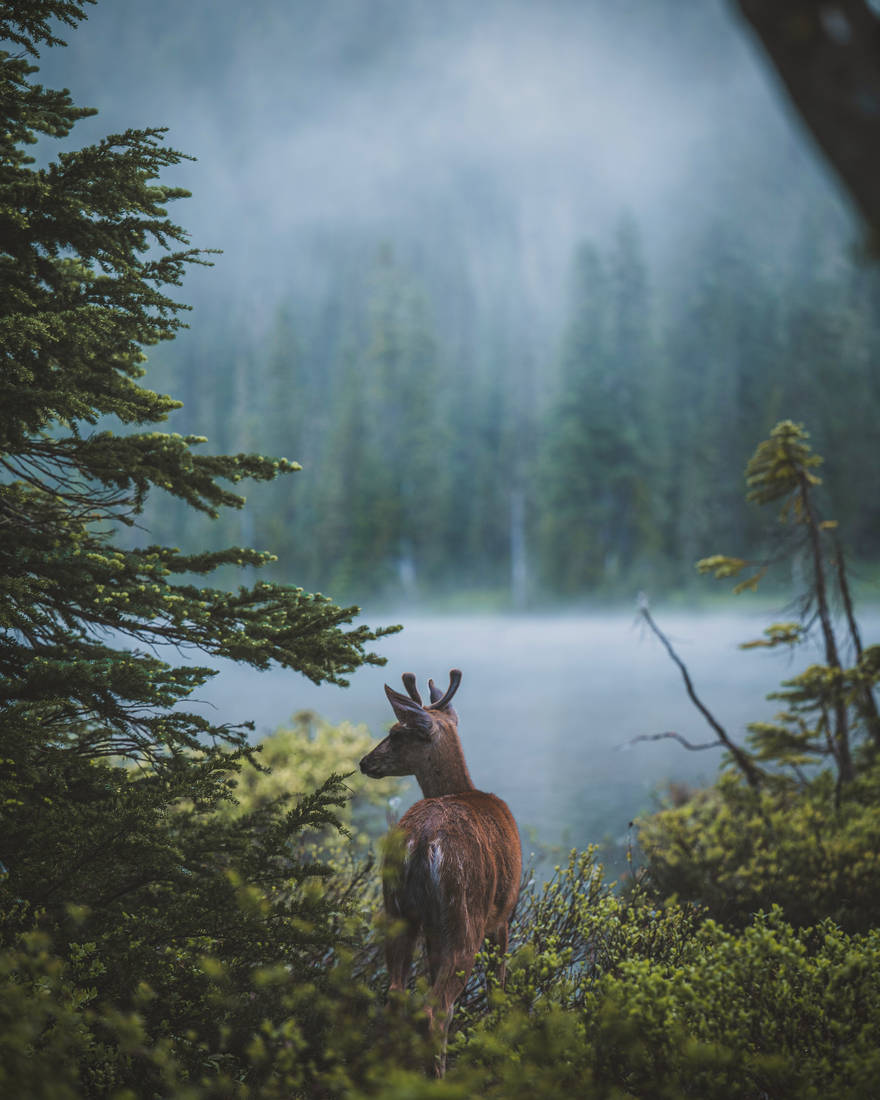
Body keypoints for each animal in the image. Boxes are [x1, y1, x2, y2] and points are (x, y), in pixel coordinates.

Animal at [358, 664, 523, 1078]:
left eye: (396, 734)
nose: (364, 762)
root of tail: (421, 841)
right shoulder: (504, 913)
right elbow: (498, 987)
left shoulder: (434, 931)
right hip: (466, 914)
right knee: (437, 1009)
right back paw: (439, 1077)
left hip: (398, 911)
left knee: (397, 995)